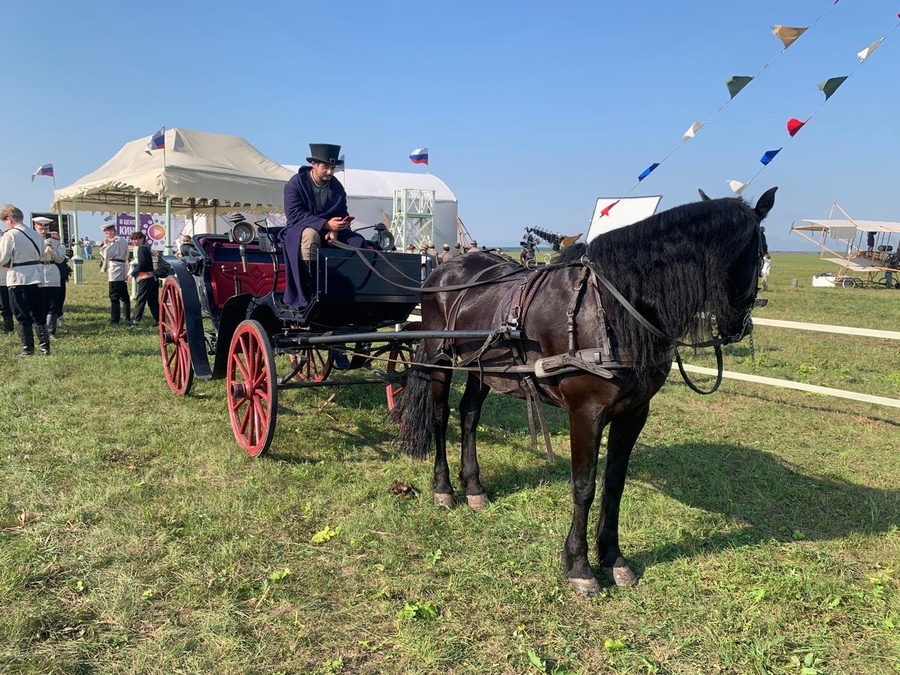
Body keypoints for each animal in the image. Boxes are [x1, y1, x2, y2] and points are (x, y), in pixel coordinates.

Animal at [398, 187, 776, 596]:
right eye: (761, 253)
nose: (741, 326)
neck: (613, 310)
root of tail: (443, 270)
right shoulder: (585, 413)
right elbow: (584, 486)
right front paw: (579, 565)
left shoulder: (634, 413)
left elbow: (614, 484)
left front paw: (613, 557)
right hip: (439, 361)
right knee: (441, 419)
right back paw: (444, 488)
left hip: (483, 369)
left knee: (469, 415)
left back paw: (474, 488)